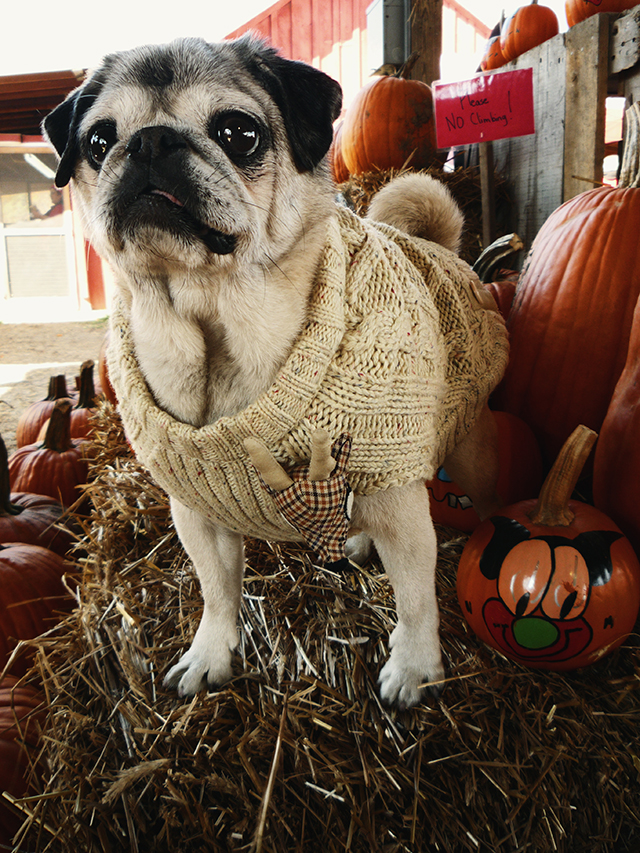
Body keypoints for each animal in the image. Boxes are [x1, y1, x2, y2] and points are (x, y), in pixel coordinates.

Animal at [42, 36, 508, 708]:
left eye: (239, 133)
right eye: (99, 142)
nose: (151, 141)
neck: (214, 328)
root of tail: (443, 250)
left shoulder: (399, 499)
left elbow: (417, 598)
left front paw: (416, 667)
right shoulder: (196, 515)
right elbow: (216, 593)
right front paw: (211, 654)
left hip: (469, 450)